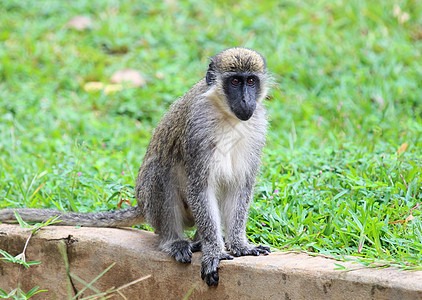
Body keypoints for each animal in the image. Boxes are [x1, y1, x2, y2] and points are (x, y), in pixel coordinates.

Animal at [0, 47, 270, 286]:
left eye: (251, 81)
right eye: (234, 81)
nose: (246, 100)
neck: (227, 116)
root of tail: (142, 205)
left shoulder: (256, 128)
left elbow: (240, 187)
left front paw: (239, 246)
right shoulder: (197, 130)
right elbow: (200, 187)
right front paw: (214, 251)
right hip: (154, 201)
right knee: (161, 170)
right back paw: (175, 241)